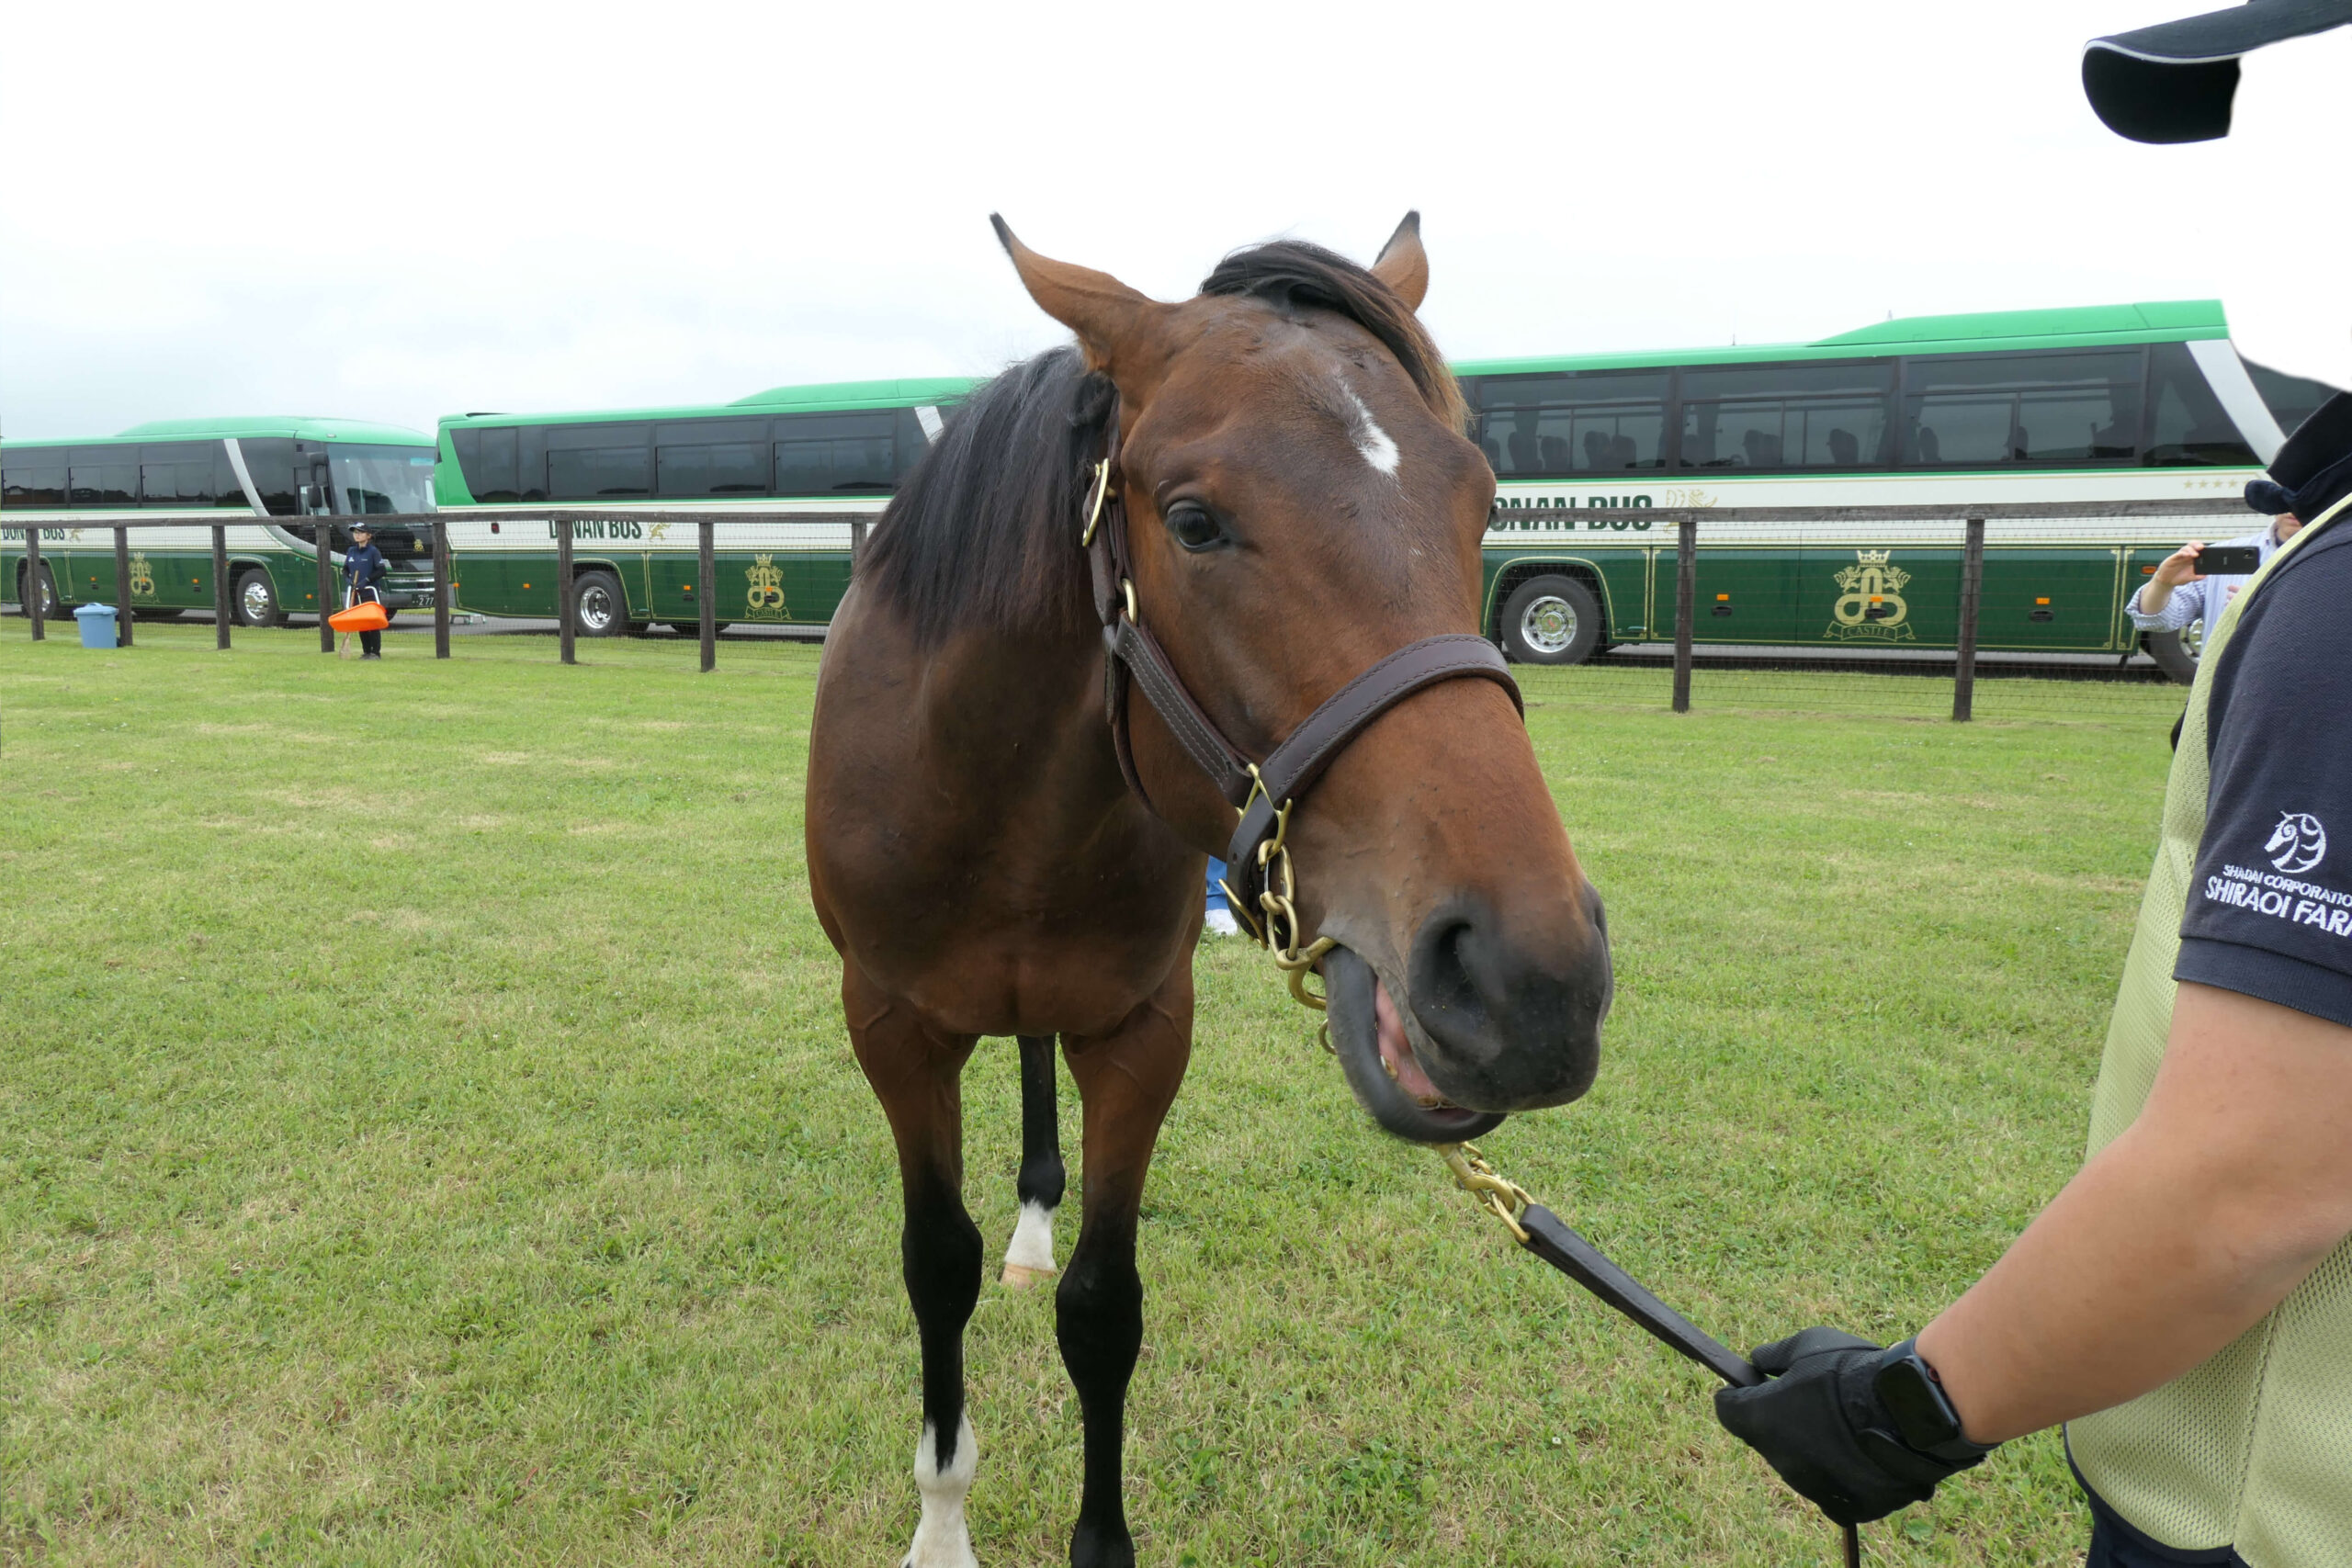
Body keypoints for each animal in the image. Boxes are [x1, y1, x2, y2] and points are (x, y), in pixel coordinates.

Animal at [813, 215, 1618, 1561]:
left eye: (1480, 497)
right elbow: (937, 1265)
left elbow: (1103, 1306)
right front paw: (942, 1523)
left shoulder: (1143, 1029)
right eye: (1192, 521)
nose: (1530, 979)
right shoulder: (891, 1024)